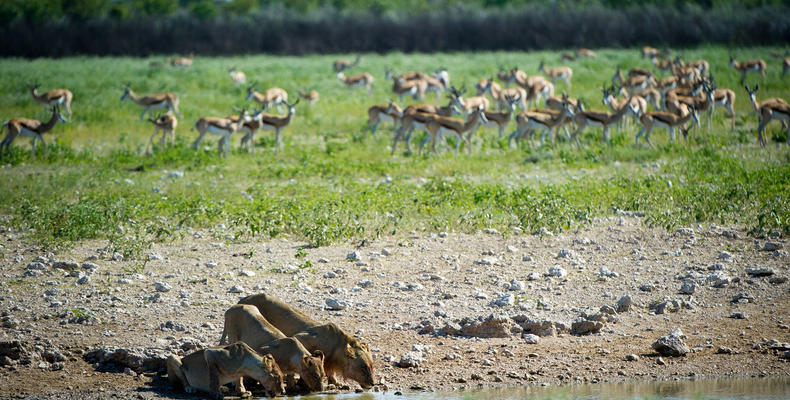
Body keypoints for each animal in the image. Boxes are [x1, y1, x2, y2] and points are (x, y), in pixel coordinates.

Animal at [237, 294, 376, 388]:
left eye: (372, 366)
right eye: (364, 367)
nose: (373, 383)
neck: (337, 348)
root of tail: (242, 299)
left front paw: (336, 383)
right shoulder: (302, 338)